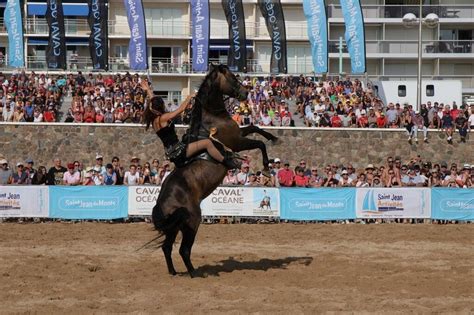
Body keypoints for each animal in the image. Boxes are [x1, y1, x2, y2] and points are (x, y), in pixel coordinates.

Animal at [152, 65, 278, 278]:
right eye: (232, 77)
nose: (245, 93)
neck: (213, 118)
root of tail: (161, 206)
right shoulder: (237, 142)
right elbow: (259, 143)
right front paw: (267, 168)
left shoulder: (239, 134)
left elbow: (255, 127)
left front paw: (273, 136)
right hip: (192, 222)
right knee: (183, 249)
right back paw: (194, 273)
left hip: (174, 227)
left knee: (167, 247)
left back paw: (174, 272)